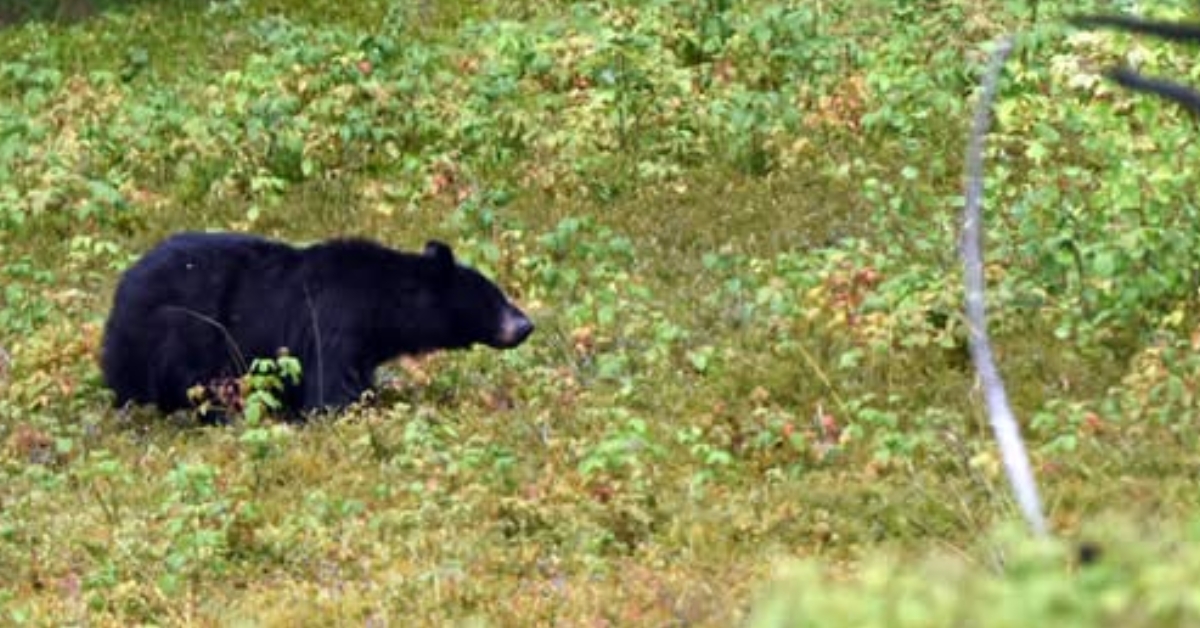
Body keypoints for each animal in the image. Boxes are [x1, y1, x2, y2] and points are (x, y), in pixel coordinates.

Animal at [100, 232, 534, 418]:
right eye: (494, 297)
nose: (526, 325)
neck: (380, 303)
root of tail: (121, 290)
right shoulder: (332, 323)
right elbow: (331, 390)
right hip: (175, 335)